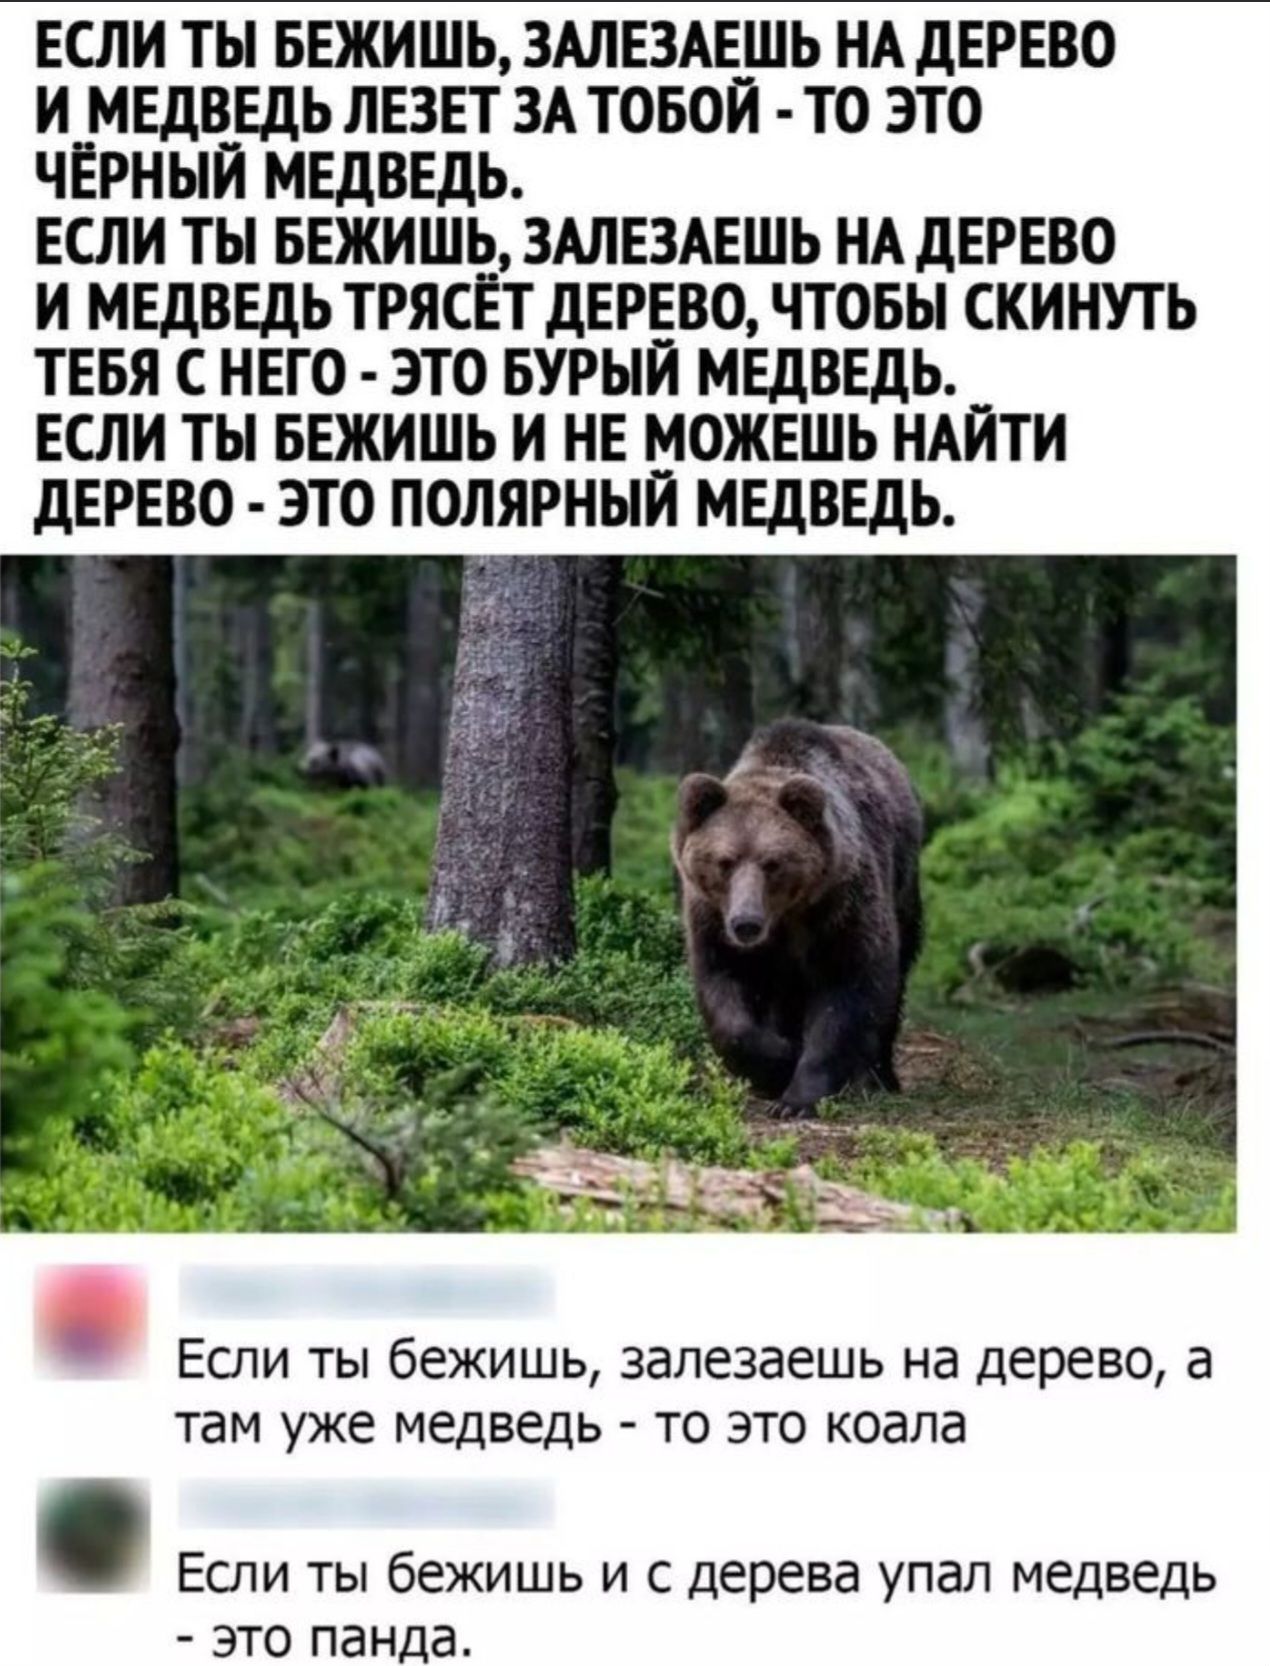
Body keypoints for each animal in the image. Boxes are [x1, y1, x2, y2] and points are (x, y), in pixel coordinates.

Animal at [672, 718, 923, 1116]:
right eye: (725, 861)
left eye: (772, 862)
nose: (746, 923)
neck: (785, 919)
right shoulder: (712, 920)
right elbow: (724, 995)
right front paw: (777, 1063)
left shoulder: (841, 910)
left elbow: (848, 990)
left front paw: (798, 1098)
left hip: (903, 885)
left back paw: (880, 1076)